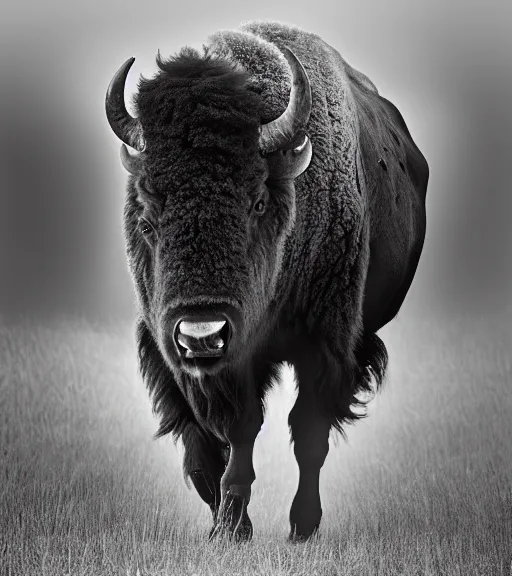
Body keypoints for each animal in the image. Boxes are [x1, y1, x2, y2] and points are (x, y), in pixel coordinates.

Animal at [104, 18, 428, 540]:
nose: (202, 335)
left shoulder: (324, 343)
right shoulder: (182, 361)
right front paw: (228, 526)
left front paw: (299, 527)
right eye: (147, 216)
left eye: (257, 202)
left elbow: (306, 434)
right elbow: (216, 439)